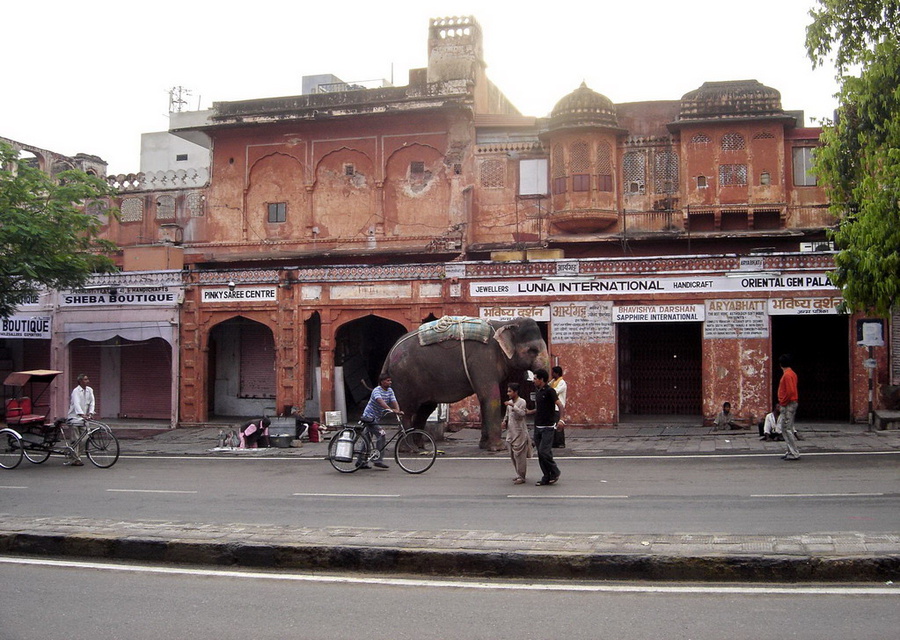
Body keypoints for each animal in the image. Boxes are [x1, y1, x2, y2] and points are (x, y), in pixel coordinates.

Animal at [380, 316, 548, 450]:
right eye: (532, 350)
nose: (534, 444)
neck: (505, 324)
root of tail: (390, 353)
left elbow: (485, 399)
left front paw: (484, 446)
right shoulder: (483, 360)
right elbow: (490, 397)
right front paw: (498, 449)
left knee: (425, 409)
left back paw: (420, 447)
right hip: (404, 379)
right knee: (406, 411)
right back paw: (409, 449)